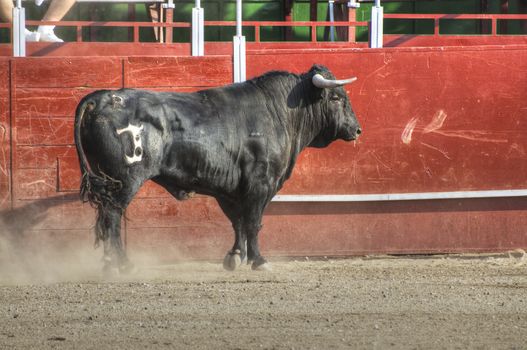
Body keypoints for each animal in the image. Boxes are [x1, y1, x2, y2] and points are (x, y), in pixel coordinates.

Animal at [74, 64, 360, 272]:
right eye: (336, 97)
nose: (357, 129)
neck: (279, 112)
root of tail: (99, 99)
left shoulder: (230, 189)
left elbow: (238, 221)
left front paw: (235, 256)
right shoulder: (261, 183)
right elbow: (253, 222)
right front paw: (259, 260)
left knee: (106, 217)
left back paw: (111, 264)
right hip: (125, 180)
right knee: (113, 217)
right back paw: (121, 264)